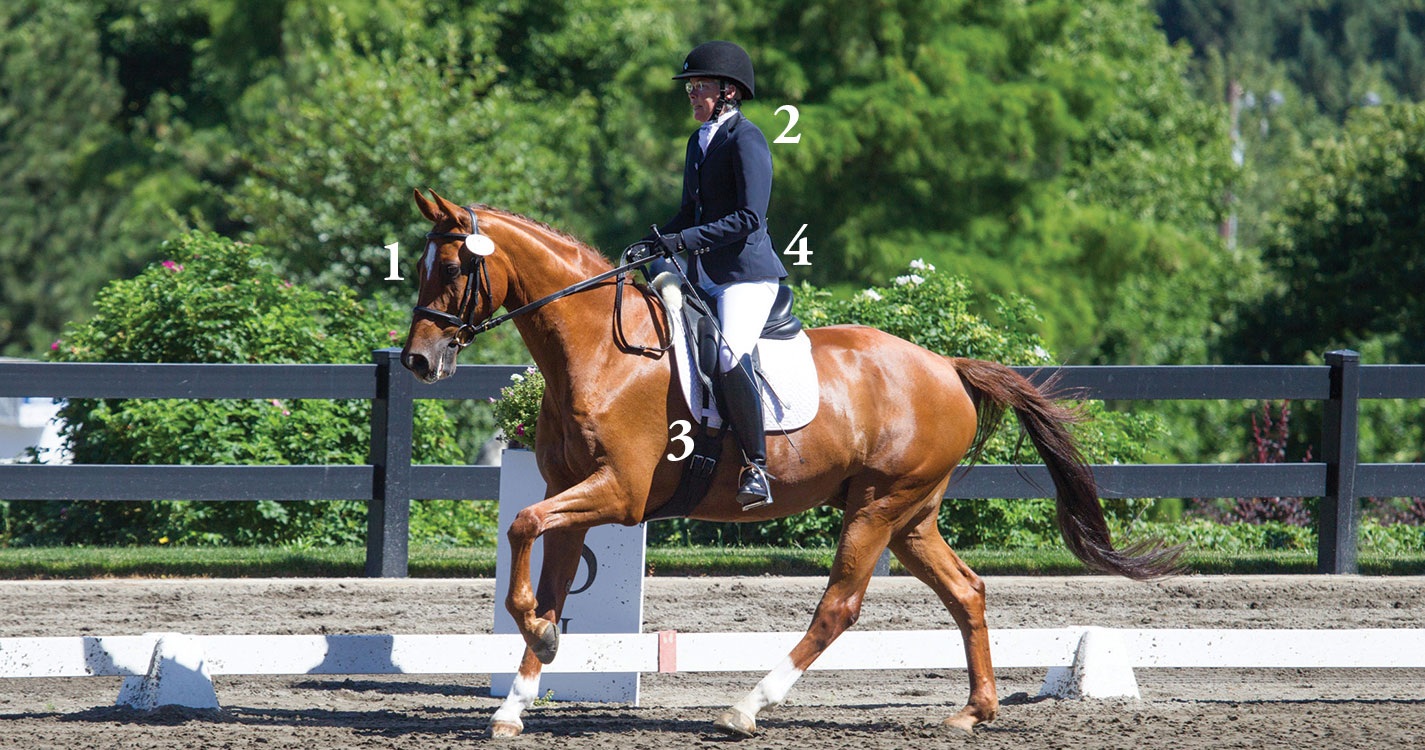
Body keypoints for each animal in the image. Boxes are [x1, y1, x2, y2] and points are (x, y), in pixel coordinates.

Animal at [401, 189, 1179, 741]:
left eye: (453, 268)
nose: (418, 362)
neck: (600, 350)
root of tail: (946, 366)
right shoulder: (571, 493)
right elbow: (547, 569)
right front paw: (519, 693)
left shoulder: (616, 494)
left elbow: (521, 527)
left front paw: (536, 633)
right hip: (909, 515)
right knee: (966, 591)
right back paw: (973, 711)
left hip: (877, 506)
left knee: (839, 605)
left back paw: (747, 707)